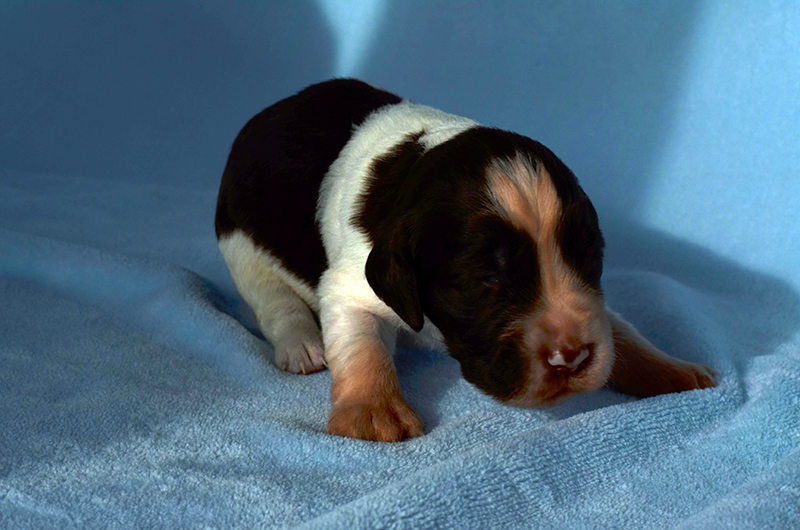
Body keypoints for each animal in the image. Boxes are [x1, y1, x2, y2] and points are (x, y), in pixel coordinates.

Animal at [216, 79, 716, 442]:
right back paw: (302, 344)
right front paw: (373, 411)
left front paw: (673, 370)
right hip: (240, 244)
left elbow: (619, 328)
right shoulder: (351, 283)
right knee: (273, 301)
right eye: (486, 278)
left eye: (590, 254)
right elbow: (361, 347)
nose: (572, 358)